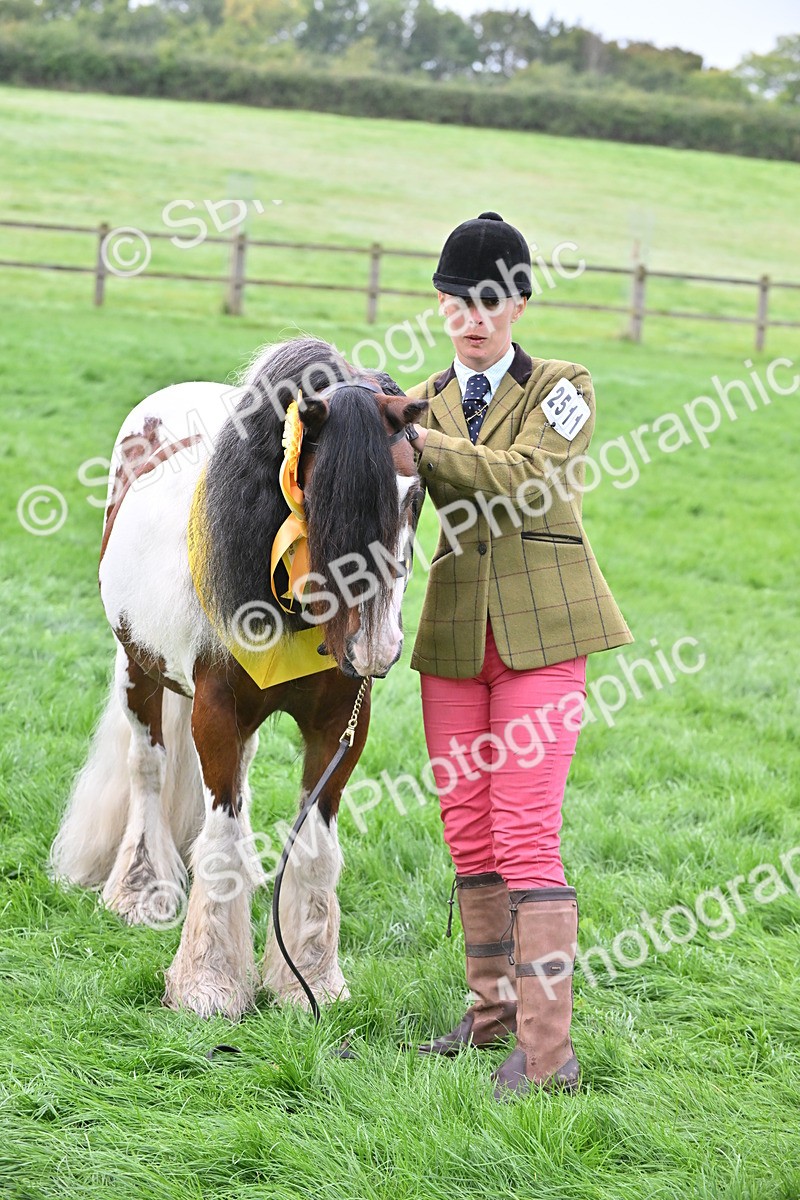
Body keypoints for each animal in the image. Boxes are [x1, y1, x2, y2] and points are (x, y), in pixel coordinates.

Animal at [50, 336, 427, 1020]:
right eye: (315, 495)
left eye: (413, 495)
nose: (374, 647)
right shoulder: (215, 713)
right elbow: (221, 832)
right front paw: (210, 982)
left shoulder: (341, 727)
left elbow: (315, 845)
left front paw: (312, 980)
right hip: (137, 668)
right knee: (148, 768)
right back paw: (140, 887)